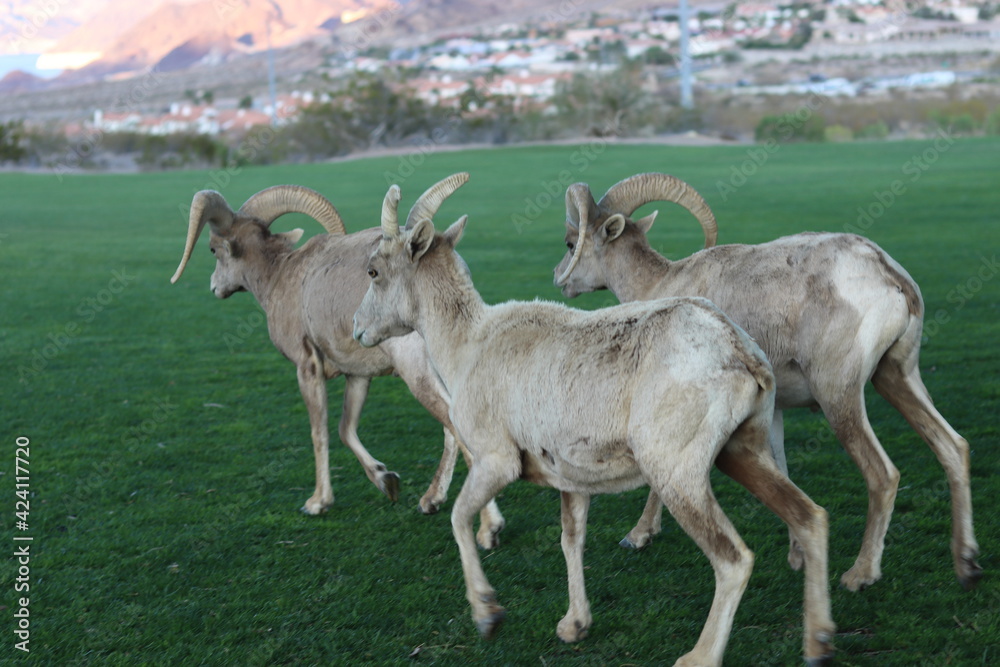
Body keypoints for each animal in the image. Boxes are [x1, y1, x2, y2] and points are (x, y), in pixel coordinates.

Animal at [170, 183, 508, 548]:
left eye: (213, 249)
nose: (214, 287)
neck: (280, 277)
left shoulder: (307, 367)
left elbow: (319, 431)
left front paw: (317, 503)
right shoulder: (357, 376)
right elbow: (347, 429)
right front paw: (387, 481)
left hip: (414, 371)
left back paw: (488, 529)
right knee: (451, 427)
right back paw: (431, 500)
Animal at [352, 174, 836, 667]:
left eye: (373, 271)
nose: (358, 330)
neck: (469, 343)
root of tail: (739, 352)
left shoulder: (495, 462)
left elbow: (459, 518)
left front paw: (488, 615)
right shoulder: (572, 481)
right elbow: (572, 540)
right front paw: (574, 625)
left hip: (678, 475)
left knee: (734, 559)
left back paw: (698, 656)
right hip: (743, 453)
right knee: (810, 517)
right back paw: (819, 643)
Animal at [556, 174, 984, 596]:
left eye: (570, 242)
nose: (560, 279)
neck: (659, 286)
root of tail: (888, 274)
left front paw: (638, 536)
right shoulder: (773, 411)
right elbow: (781, 468)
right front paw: (797, 556)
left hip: (840, 396)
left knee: (883, 474)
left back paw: (860, 574)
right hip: (898, 376)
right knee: (952, 446)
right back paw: (967, 565)